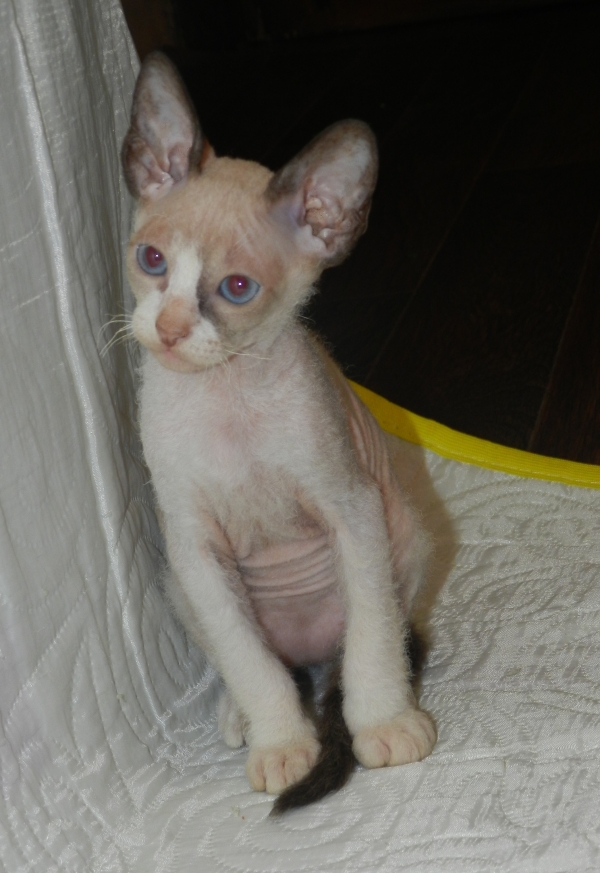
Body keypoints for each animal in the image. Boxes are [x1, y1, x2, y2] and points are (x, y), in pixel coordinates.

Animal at [121, 51, 436, 814]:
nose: (168, 329)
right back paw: (244, 715)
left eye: (236, 289)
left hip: (408, 531)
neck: (227, 397)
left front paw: (382, 724)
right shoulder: (195, 545)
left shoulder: (352, 509)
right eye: (152, 261)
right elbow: (247, 657)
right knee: (260, 656)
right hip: (181, 584)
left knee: (368, 638)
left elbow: (373, 636)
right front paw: (282, 743)